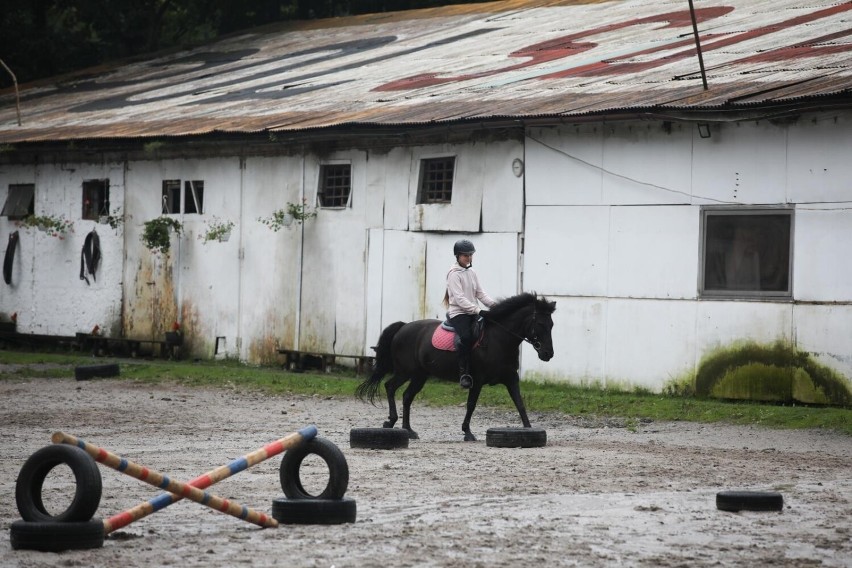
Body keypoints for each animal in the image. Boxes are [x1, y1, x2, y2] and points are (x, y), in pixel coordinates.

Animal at [356, 292, 556, 444]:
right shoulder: (477, 380)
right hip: (406, 371)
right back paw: (391, 421)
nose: (548, 354)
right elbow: (471, 405)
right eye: (540, 324)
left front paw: (529, 429)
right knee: (390, 387)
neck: (498, 339)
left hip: (420, 376)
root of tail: (403, 327)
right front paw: (467, 432)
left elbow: (519, 403)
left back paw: (408, 430)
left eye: (551, 325)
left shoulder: (511, 378)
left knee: (406, 396)